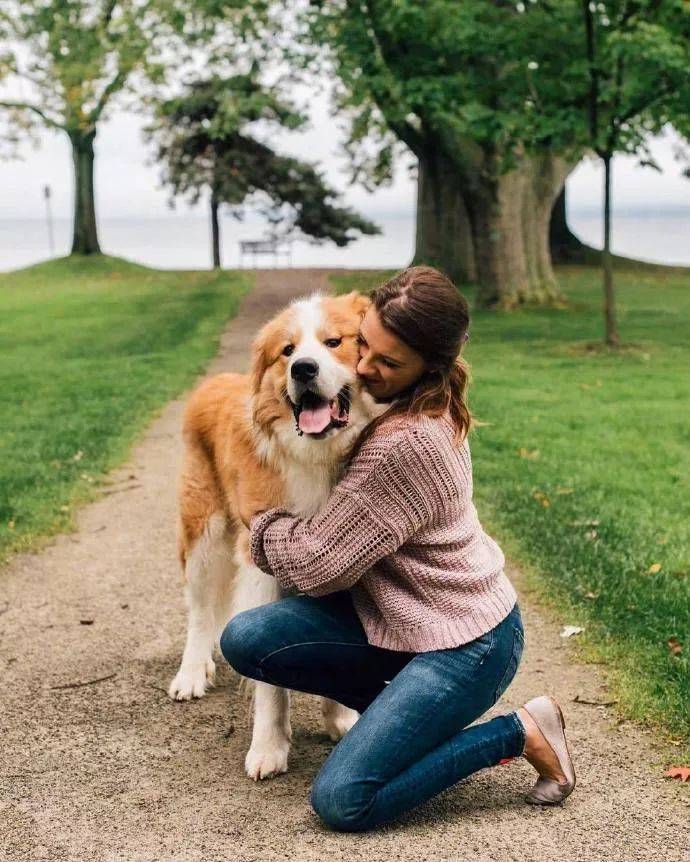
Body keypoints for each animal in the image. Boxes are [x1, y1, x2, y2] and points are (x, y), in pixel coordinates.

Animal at [167, 290, 382, 784]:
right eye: (287, 351)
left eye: (334, 342)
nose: (302, 369)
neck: (317, 458)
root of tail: (215, 382)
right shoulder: (259, 560)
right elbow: (268, 685)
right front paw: (268, 746)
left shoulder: (343, 557)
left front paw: (339, 718)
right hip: (204, 536)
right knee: (200, 613)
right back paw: (191, 672)